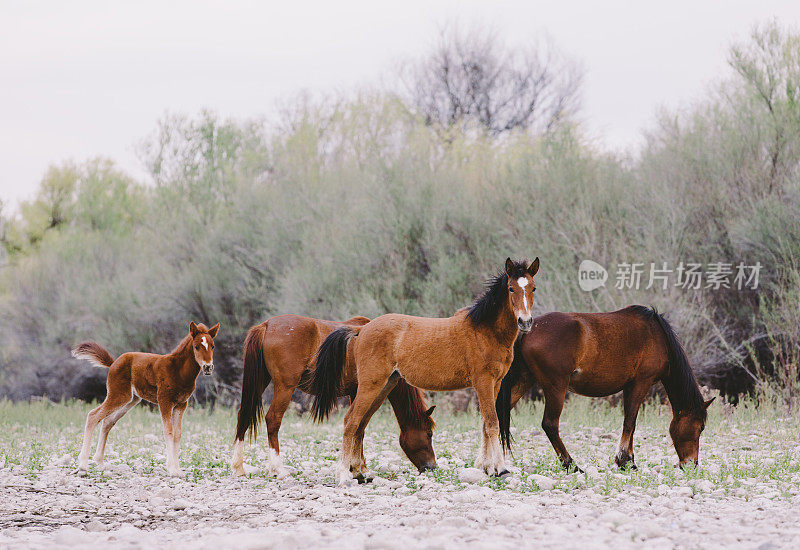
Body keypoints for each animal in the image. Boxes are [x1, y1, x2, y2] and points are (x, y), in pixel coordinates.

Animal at [72, 324, 219, 478]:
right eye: (196, 346)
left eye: (213, 346)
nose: (208, 367)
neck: (178, 371)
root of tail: (113, 364)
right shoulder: (164, 401)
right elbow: (169, 431)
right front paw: (172, 469)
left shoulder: (181, 404)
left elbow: (177, 434)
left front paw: (178, 470)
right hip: (118, 395)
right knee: (93, 415)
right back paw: (83, 464)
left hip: (130, 400)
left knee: (107, 422)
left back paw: (99, 462)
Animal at [230, 314, 438, 478]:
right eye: (428, 434)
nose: (432, 467)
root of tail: (266, 325)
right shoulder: (359, 392)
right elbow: (359, 427)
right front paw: (358, 467)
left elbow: (358, 428)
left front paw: (357, 467)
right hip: (285, 387)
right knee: (273, 419)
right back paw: (278, 469)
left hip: (260, 381)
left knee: (244, 415)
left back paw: (239, 467)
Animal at [310, 256, 540, 486]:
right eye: (511, 288)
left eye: (533, 288)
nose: (525, 322)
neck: (485, 331)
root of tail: (362, 329)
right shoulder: (483, 381)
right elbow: (492, 422)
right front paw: (500, 469)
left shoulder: (496, 382)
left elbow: (485, 423)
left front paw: (487, 468)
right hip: (370, 385)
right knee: (351, 421)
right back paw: (343, 474)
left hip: (384, 386)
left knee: (361, 424)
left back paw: (359, 472)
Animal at [496, 304, 716, 472]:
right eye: (700, 427)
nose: (692, 464)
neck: (658, 336)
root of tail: (527, 330)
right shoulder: (640, 383)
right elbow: (630, 422)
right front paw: (624, 461)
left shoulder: (629, 387)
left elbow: (630, 422)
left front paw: (629, 460)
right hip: (556, 387)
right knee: (550, 424)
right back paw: (571, 464)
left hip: (525, 380)